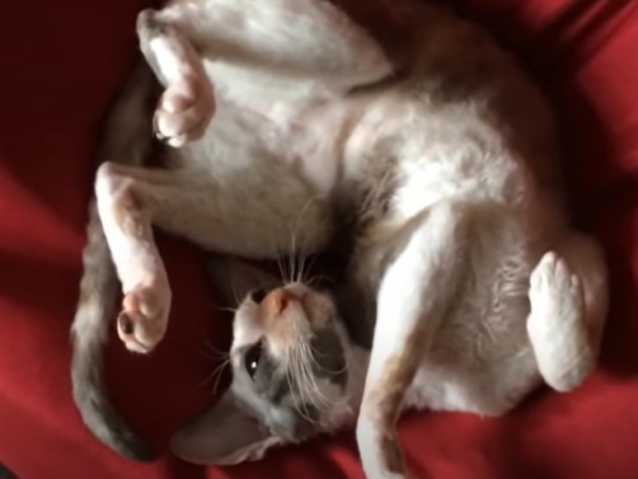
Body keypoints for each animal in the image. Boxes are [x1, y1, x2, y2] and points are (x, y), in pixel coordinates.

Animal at [70, 1, 609, 478]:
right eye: (252, 361)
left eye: (257, 294)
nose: (278, 298)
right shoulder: (434, 240)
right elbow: (374, 413)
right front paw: (390, 471)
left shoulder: (581, 252)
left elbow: (570, 373)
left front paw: (551, 290)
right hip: (293, 205)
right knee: (121, 160)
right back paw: (148, 296)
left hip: (338, 76)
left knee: (148, 68)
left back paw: (185, 108)